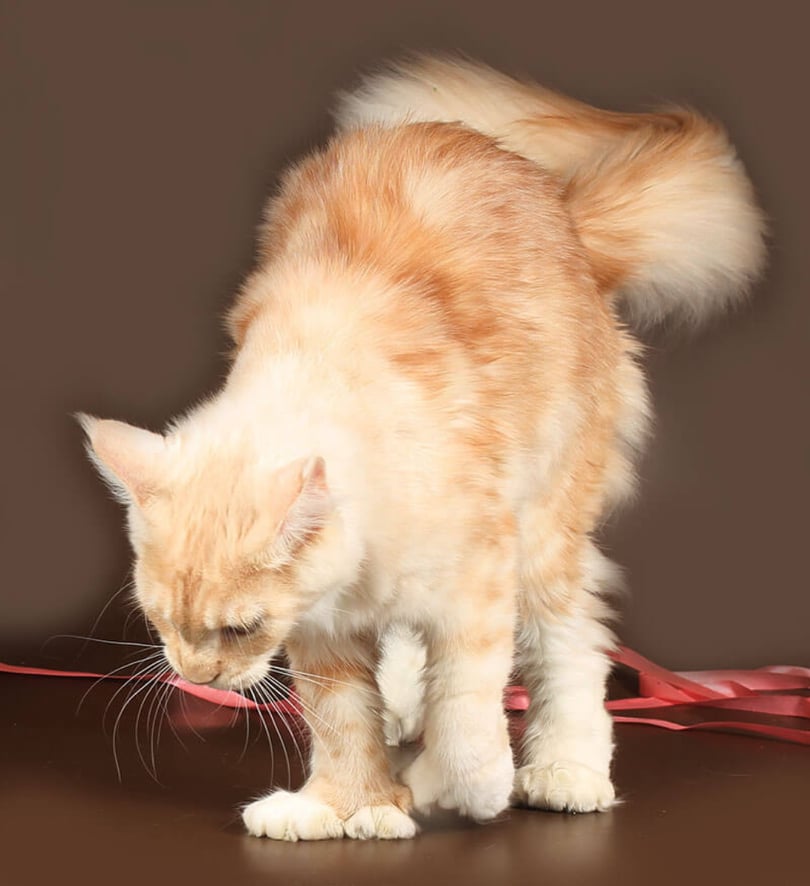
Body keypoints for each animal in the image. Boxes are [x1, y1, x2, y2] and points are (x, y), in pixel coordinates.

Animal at [80, 55, 765, 841]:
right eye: (161, 622)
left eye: (241, 629)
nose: (196, 678)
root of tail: (566, 216)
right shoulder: (325, 622)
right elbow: (343, 716)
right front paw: (350, 803)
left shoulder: (480, 579)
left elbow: (467, 718)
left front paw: (453, 787)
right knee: (414, 648)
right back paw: (405, 712)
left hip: (546, 532)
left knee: (570, 647)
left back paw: (566, 770)